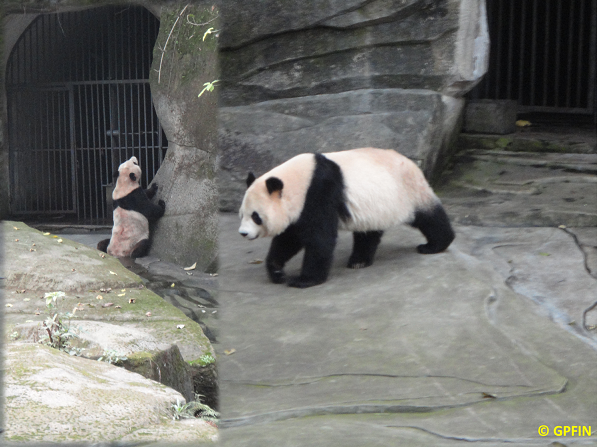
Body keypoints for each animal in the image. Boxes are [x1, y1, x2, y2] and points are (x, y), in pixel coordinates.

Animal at [237, 150, 452, 290]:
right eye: (242, 214)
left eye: (256, 216)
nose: (243, 233)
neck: (299, 180)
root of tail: (413, 164)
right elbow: (290, 239)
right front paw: (277, 272)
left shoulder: (319, 192)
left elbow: (319, 238)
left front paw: (304, 280)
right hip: (374, 205)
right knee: (368, 232)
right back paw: (359, 261)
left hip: (407, 191)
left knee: (428, 217)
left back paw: (435, 245)